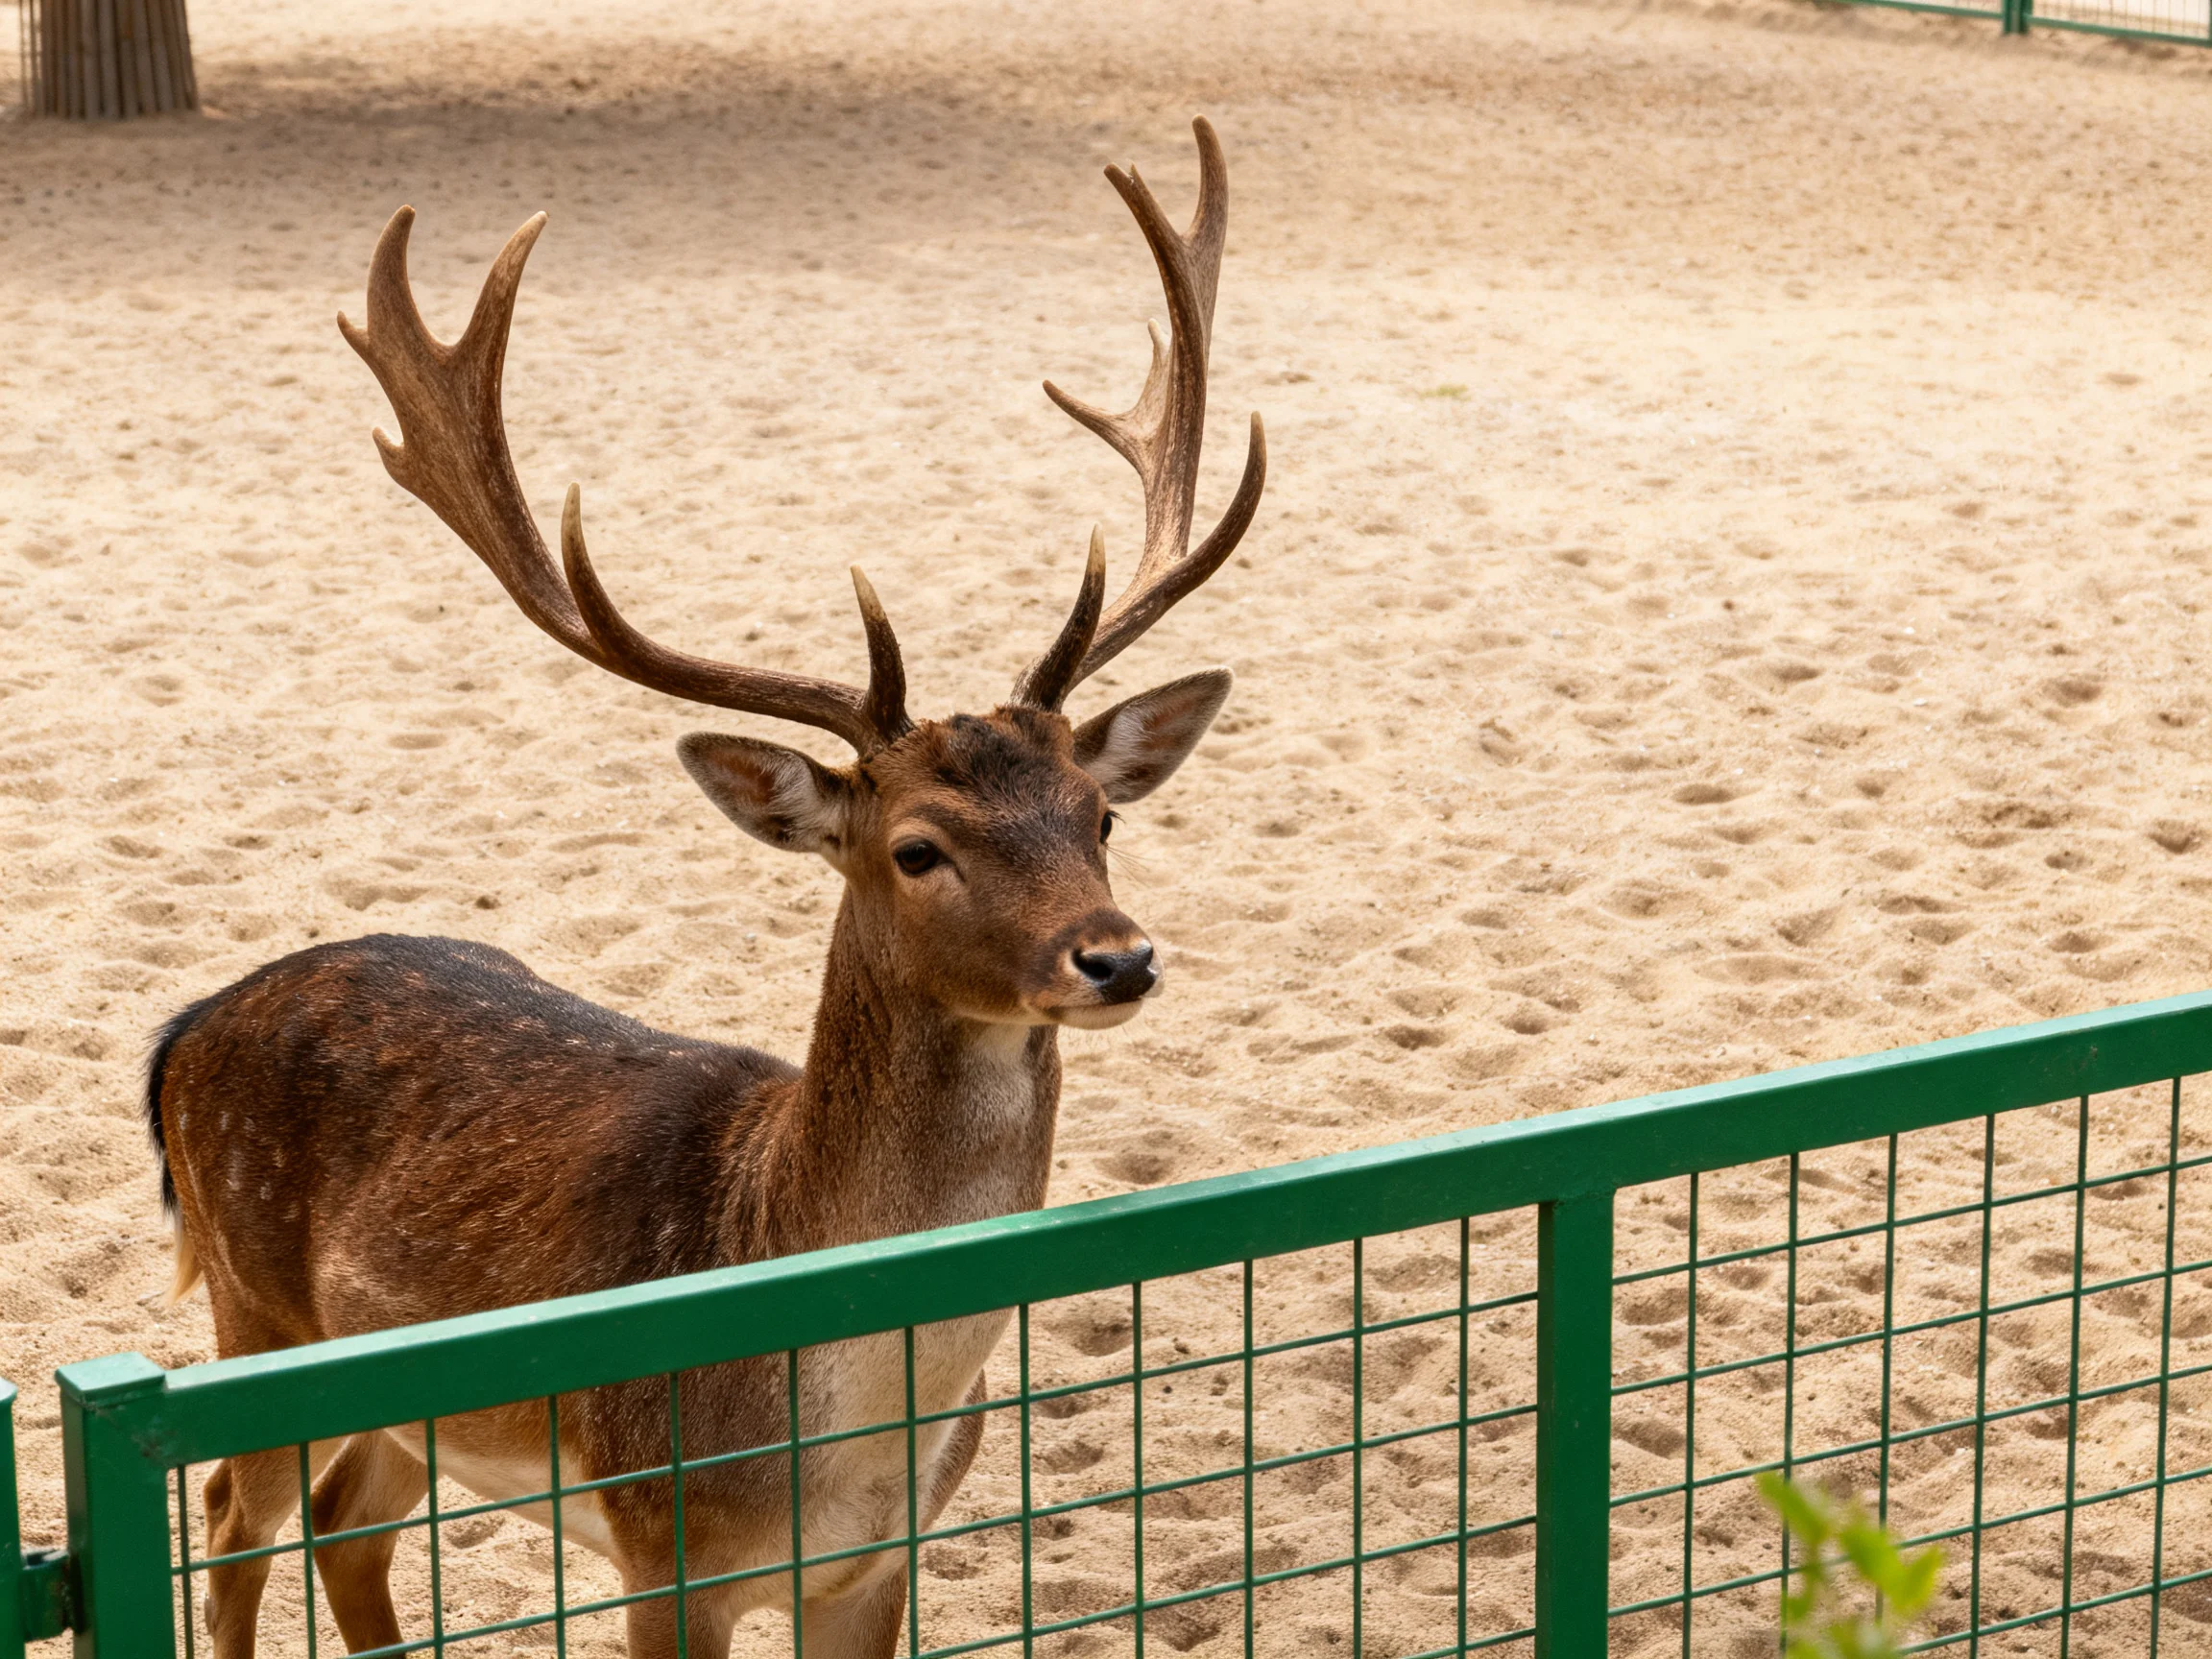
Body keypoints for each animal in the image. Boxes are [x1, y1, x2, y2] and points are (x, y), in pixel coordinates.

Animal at [142, 118, 1265, 1659]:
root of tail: (188, 1028)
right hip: (257, 1315)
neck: (843, 1439)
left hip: (400, 1395)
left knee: (346, 1526)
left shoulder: (879, 1566)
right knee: (229, 1527)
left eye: (1100, 815)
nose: (1117, 955)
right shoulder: (658, 1542)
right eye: (916, 847)